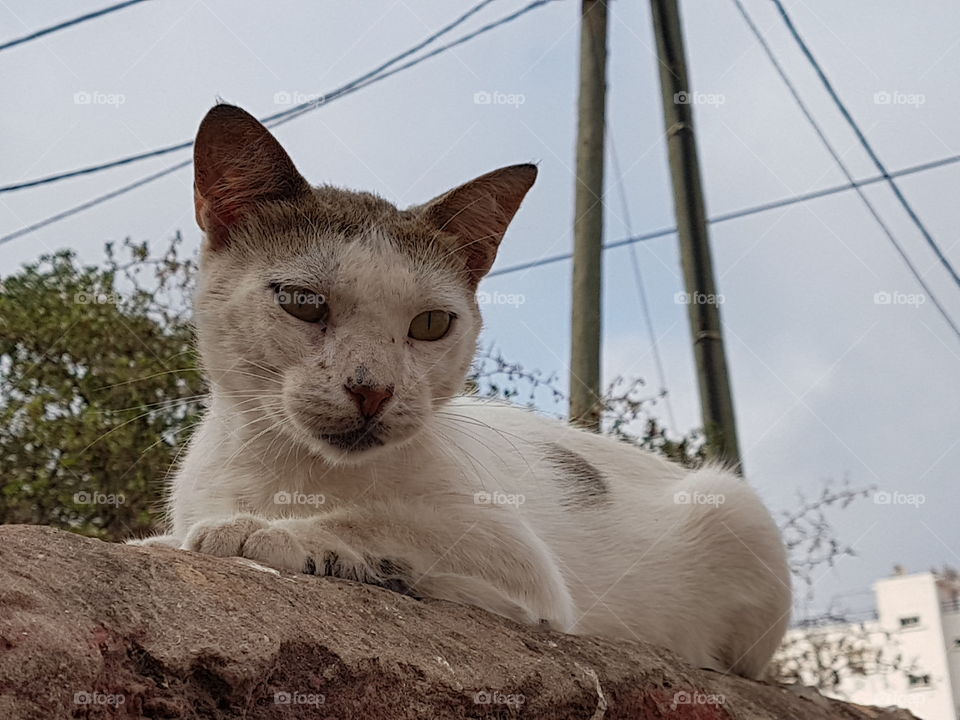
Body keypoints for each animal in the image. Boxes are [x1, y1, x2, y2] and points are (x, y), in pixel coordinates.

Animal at [133, 102, 788, 680]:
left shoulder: (522, 569)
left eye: (430, 324)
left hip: (738, 509)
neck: (290, 471)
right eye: (302, 303)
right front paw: (176, 537)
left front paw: (261, 532)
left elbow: (383, 526)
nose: (372, 390)